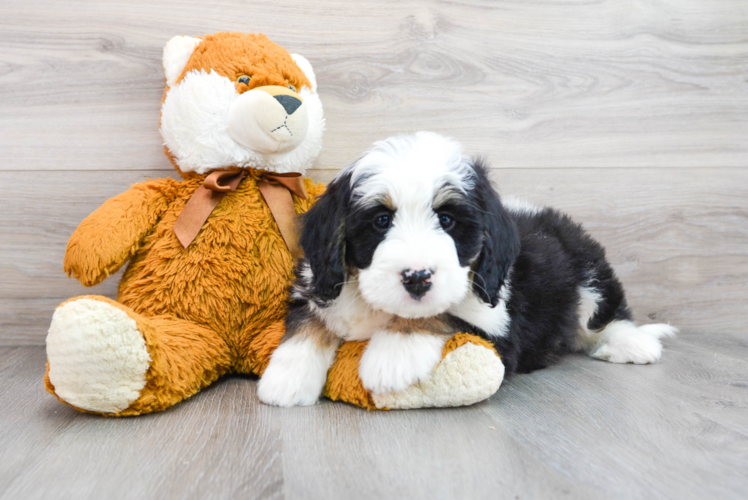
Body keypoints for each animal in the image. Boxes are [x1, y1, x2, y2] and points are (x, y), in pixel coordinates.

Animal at [258, 132, 676, 406]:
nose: (417, 278)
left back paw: (631, 343)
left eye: (447, 220)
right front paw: (287, 377)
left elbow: (444, 313)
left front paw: (393, 354)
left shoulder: (497, 322)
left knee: (603, 314)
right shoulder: (319, 285)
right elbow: (310, 321)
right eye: (381, 221)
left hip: (587, 264)